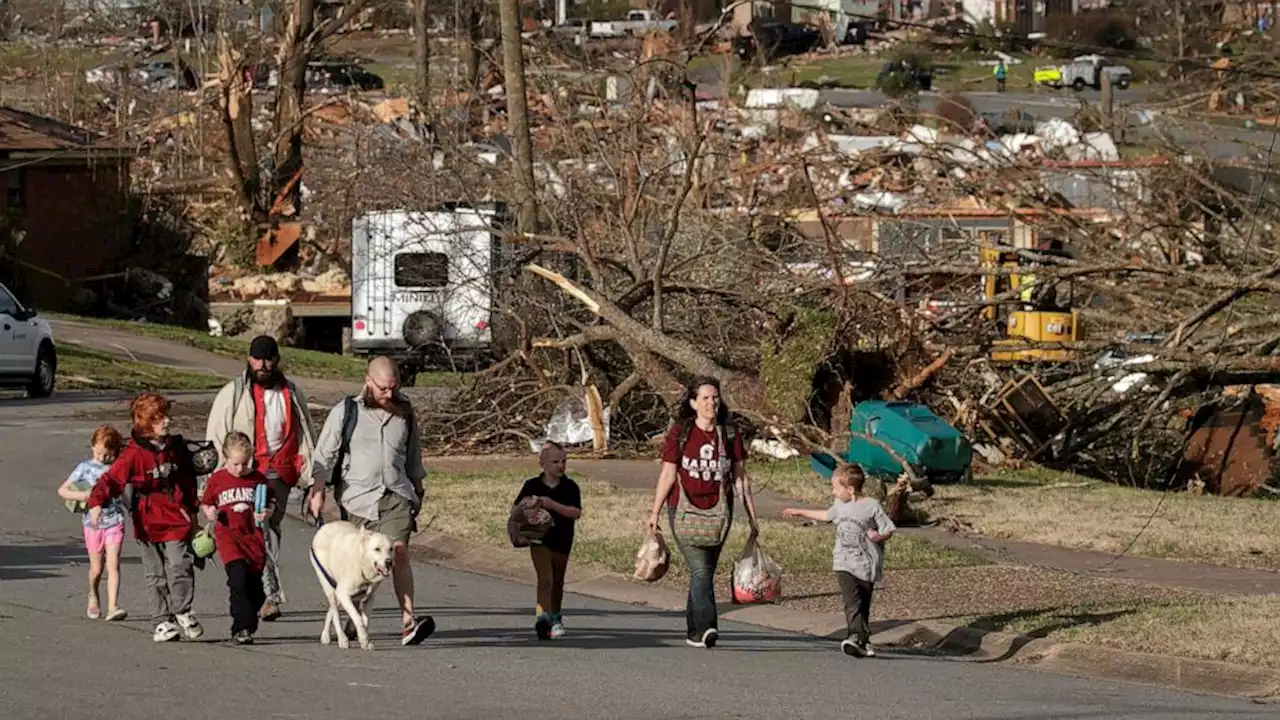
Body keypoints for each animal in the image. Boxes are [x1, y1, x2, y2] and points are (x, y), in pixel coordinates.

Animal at [307, 517, 391, 648]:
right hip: (329, 586)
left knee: (331, 610)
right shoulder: (343, 594)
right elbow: (358, 619)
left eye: (390, 549)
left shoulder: (369, 599)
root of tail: (323, 527)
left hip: (338, 592)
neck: (362, 564)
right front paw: (362, 639)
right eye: (377, 549)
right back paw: (342, 639)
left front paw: (364, 640)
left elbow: (366, 622)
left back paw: (325, 635)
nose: (389, 562)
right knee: (335, 611)